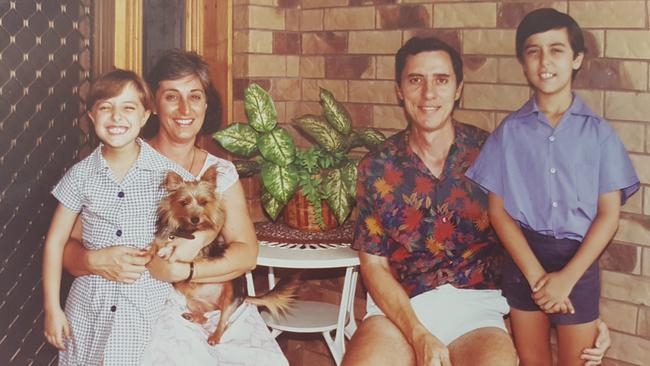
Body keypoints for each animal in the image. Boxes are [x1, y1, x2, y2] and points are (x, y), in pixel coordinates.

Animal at [151, 167, 298, 346]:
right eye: (184, 202)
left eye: (203, 202)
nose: (195, 219)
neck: (185, 231)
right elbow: (154, 246)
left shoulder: (199, 251)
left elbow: (181, 251)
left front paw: (167, 251)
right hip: (192, 301)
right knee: (204, 318)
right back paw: (193, 317)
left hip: (230, 296)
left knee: (223, 323)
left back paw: (214, 337)